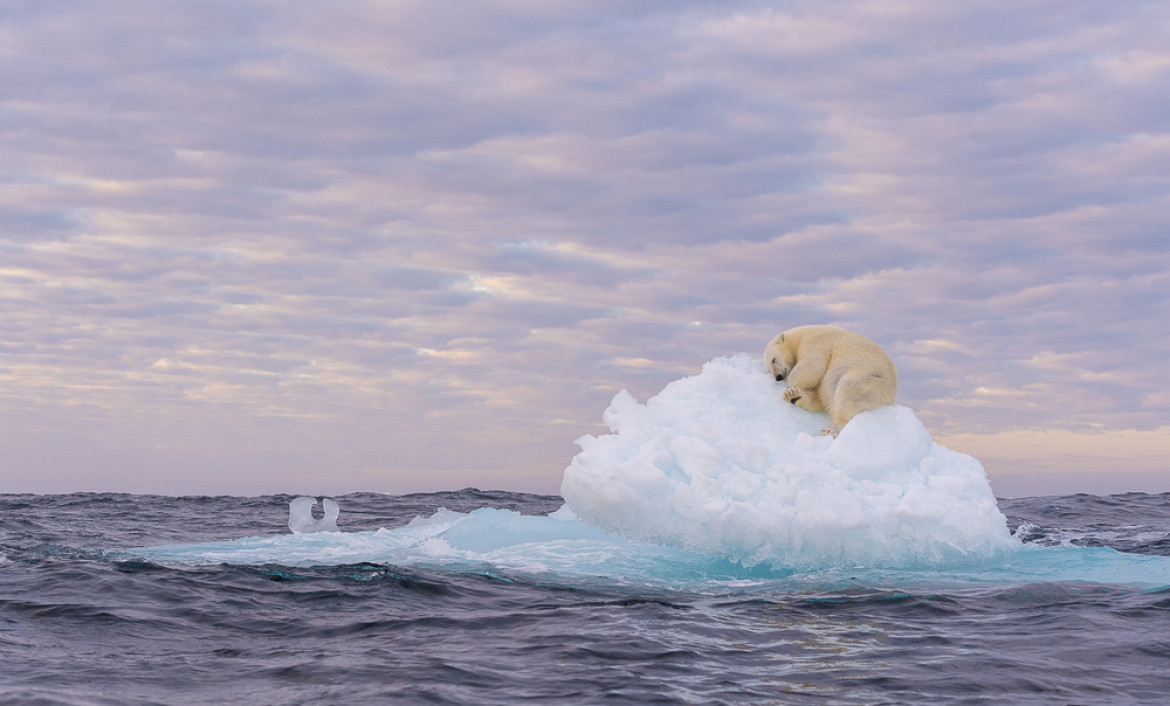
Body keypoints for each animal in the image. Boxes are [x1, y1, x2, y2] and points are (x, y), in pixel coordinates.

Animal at [762, 325, 898, 435]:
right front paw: (792, 393)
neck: (800, 336)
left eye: (774, 359)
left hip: (871, 378)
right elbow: (817, 395)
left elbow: (813, 365)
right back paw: (795, 398)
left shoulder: (816, 342)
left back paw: (832, 429)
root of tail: (891, 397)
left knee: (849, 391)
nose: (778, 377)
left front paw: (790, 386)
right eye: (769, 370)